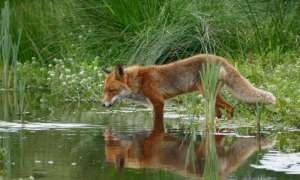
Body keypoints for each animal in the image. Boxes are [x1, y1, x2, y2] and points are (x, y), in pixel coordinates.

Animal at [102, 53, 276, 132]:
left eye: (112, 90)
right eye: (105, 91)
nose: (103, 105)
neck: (140, 81)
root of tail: (220, 58)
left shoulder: (159, 102)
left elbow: (158, 123)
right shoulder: (153, 105)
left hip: (208, 95)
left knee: (231, 108)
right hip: (212, 97)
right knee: (221, 112)